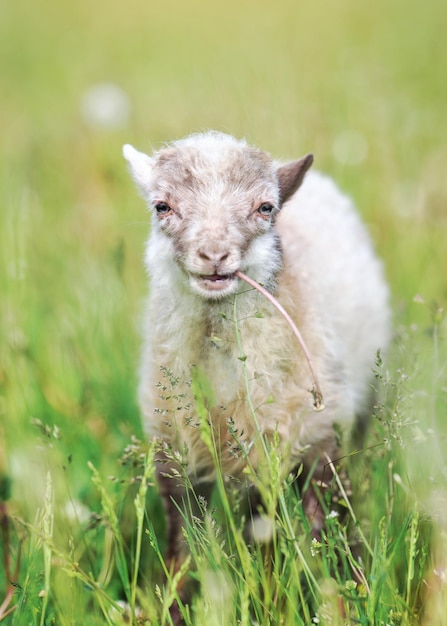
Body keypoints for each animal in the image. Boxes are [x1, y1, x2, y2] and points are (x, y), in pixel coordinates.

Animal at [123, 130, 392, 600]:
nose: (214, 255)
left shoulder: (317, 443)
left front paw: (332, 595)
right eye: (162, 206)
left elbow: (323, 534)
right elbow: (183, 549)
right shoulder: (175, 458)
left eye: (266, 207)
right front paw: (176, 604)